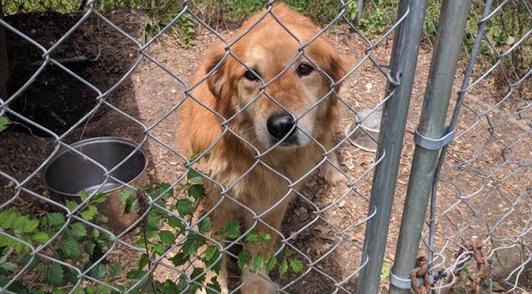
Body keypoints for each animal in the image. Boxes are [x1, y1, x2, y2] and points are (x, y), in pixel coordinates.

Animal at [177, 2, 348, 294]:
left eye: (304, 69)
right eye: (251, 75)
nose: (281, 126)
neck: (255, 158)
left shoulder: (273, 201)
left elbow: (258, 248)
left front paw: (256, 283)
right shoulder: (214, 200)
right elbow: (212, 251)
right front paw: (210, 285)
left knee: (327, 140)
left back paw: (332, 168)